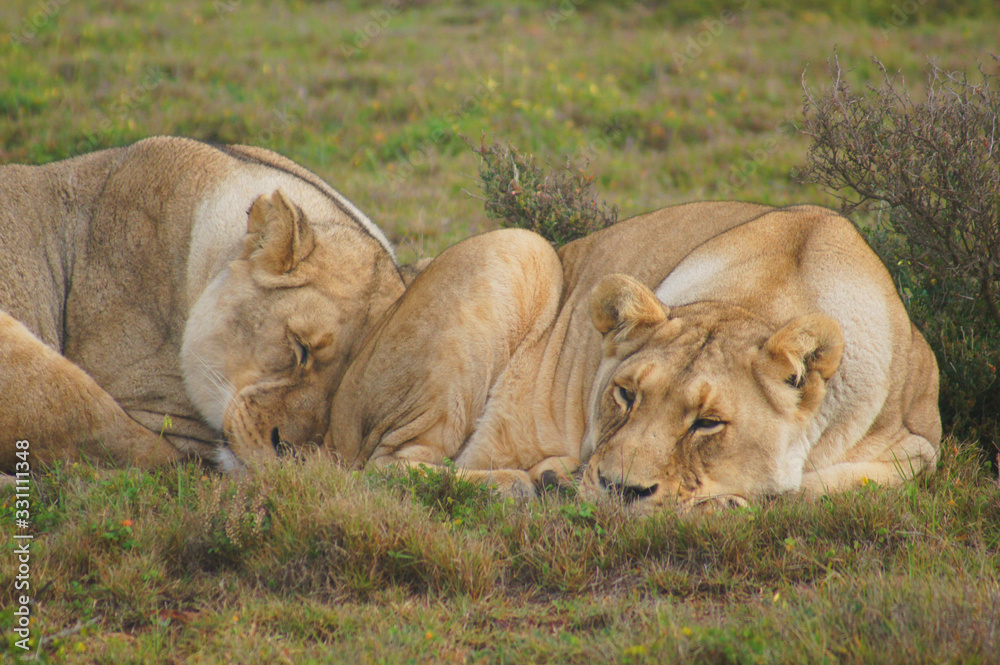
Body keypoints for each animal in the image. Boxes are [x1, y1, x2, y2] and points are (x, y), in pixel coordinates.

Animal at [325, 202, 941, 511]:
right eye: (625, 394)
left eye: (708, 423)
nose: (622, 493)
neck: (764, 297)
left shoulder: (921, 444)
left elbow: (820, 487)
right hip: (520, 247)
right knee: (386, 467)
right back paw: (526, 484)